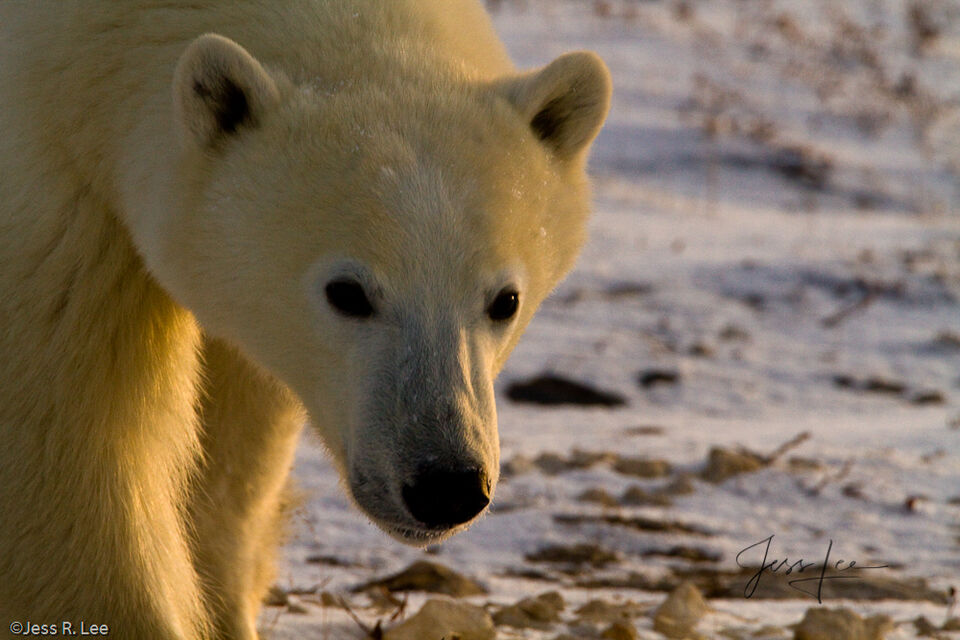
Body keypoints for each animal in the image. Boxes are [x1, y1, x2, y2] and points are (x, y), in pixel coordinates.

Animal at [0, 1, 610, 638]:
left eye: (504, 300)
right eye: (347, 293)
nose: (447, 485)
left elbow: (234, 453)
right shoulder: (53, 188)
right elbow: (62, 449)